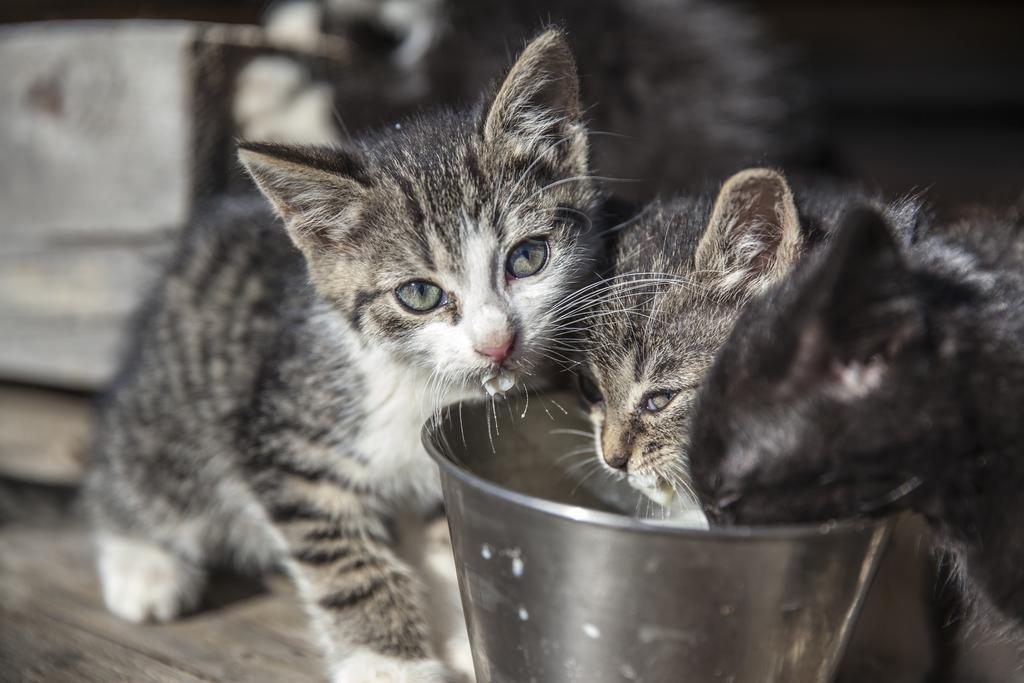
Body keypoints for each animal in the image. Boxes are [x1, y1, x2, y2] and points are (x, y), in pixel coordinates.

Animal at [88, 31, 602, 683]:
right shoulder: (287, 441)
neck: (421, 380)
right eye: (419, 295)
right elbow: (348, 561)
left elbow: (440, 544)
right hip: (171, 408)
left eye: (528, 258)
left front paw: (461, 636)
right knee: (132, 474)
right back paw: (142, 564)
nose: (497, 342)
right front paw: (392, 664)